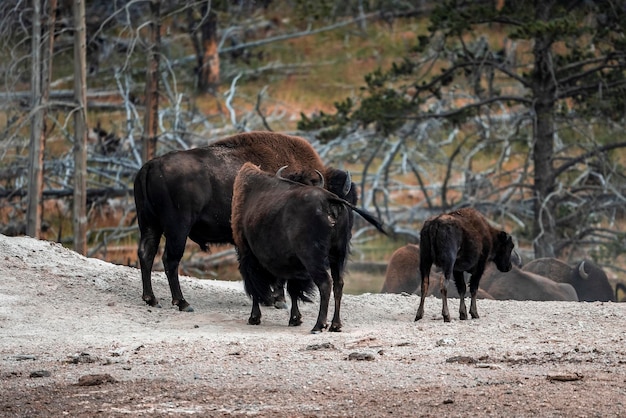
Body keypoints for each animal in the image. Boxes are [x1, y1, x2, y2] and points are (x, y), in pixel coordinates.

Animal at [135, 132, 348, 312]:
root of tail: (151, 165)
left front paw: (268, 298)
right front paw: (277, 300)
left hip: (149, 224)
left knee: (146, 253)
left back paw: (151, 299)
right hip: (177, 228)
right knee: (170, 260)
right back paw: (183, 303)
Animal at [230, 162, 386, 334]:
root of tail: (330, 199)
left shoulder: (247, 254)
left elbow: (255, 286)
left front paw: (254, 318)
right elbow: (292, 289)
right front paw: (295, 319)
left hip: (312, 258)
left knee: (325, 283)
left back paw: (318, 326)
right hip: (338, 255)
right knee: (338, 284)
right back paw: (335, 325)